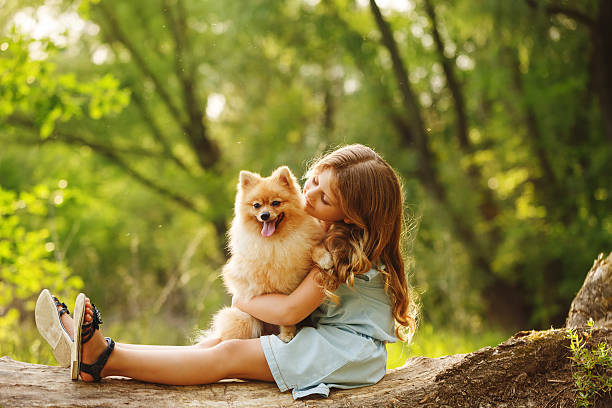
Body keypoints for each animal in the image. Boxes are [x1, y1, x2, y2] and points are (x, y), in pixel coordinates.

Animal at [207, 166, 330, 342]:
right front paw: (287, 334)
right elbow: (284, 316)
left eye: (276, 203)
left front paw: (325, 258)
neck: (277, 240)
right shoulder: (278, 287)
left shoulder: (304, 243)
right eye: (256, 205)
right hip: (243, 320)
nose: (264, 215)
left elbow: (314, 248)